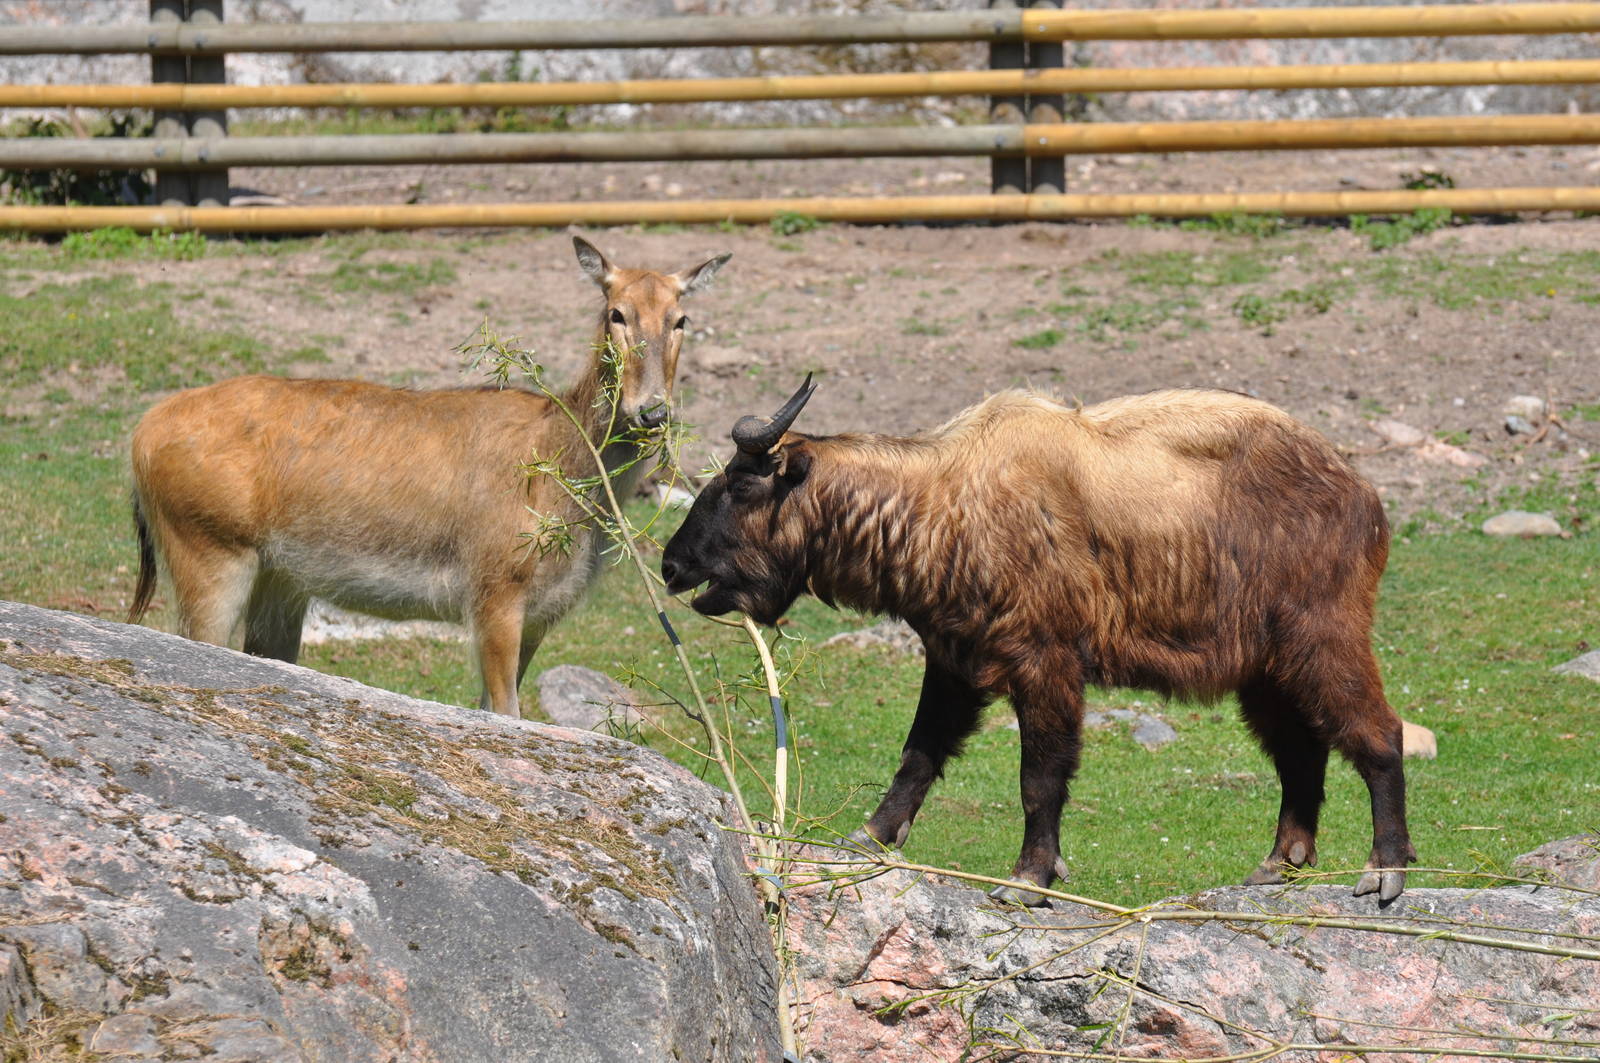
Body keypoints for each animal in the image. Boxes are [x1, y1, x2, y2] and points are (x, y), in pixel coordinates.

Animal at [128, 235, 730, 717]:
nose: (651, 410)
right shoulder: (493, 587)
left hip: (281, 579)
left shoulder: (544, 611)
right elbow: (507, 712)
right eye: (616, 313)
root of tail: (139, 438)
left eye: (681, 319)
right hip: (208, 545)